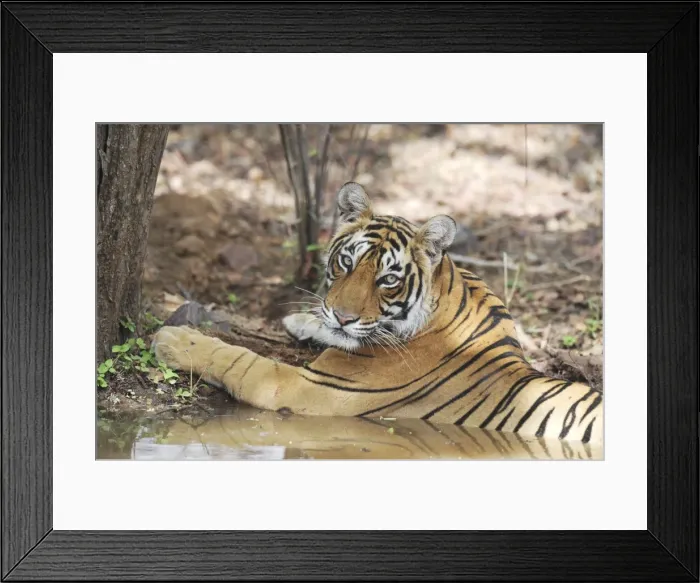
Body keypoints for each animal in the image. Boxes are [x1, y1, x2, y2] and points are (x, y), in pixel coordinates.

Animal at [153, 182, 603, 445]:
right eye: (346, 263)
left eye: (388, 280)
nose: (341, 316)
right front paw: (302, 320)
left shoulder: (302, 388)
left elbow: (241, 360)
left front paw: (175, 339)